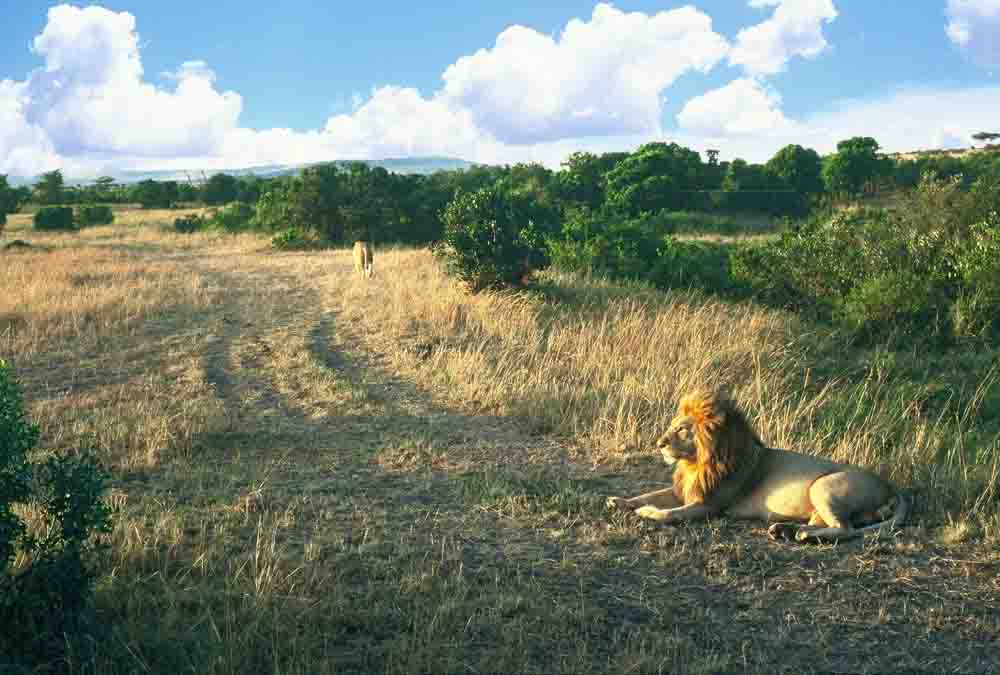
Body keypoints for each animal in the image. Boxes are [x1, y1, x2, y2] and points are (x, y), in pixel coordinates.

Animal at [604, 390, 912, 544]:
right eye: (672, 426)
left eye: (682, 430)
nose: (659, 443)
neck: (697, 463)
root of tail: (892, 487)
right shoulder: (684, 491)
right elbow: (647, 494)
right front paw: (618, 501)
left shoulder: (709, 506)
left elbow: (670, 514)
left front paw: (647, 512)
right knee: (826, 524)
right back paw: (786, 530)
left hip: (822, 486)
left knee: (845, 528)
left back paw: (799, 534)